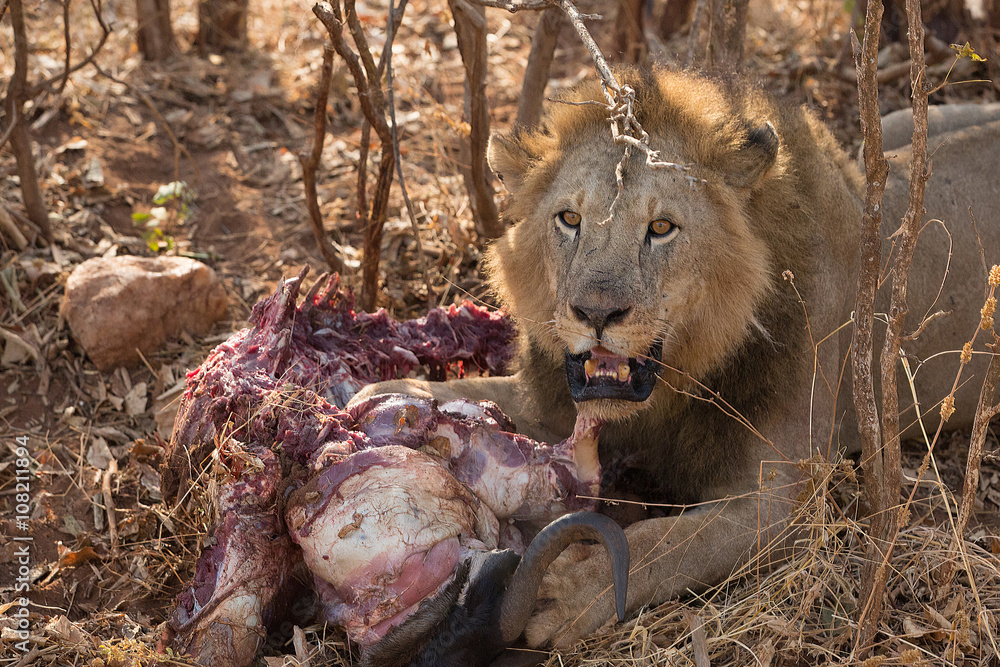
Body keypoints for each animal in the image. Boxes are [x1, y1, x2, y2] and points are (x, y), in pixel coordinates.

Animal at [349, 67, 1000, 648]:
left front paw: (567, 591)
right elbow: (485, 393)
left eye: (661, 228)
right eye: (569, 219)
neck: (671, 389)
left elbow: (662, 543)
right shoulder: (555, 404)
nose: (595, 313)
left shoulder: (775, 506)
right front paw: (394, 397)